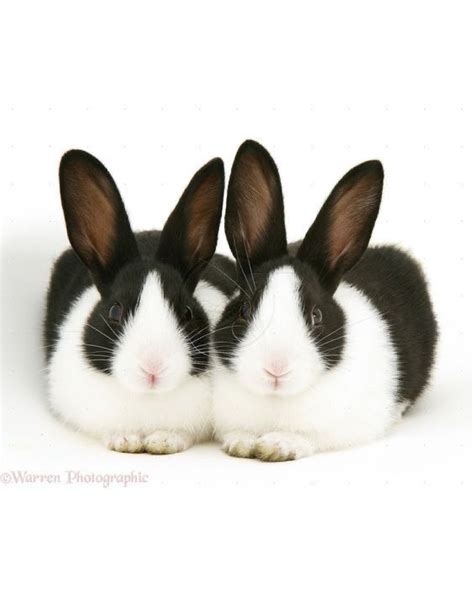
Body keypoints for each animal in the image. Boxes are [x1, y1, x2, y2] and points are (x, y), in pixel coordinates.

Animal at [211, 140, 436, 462]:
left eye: (316, 316)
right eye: (244, 309)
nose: (276, 369)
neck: (276, 401)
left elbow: (310, 437)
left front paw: (277, 446)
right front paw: (242, 443)